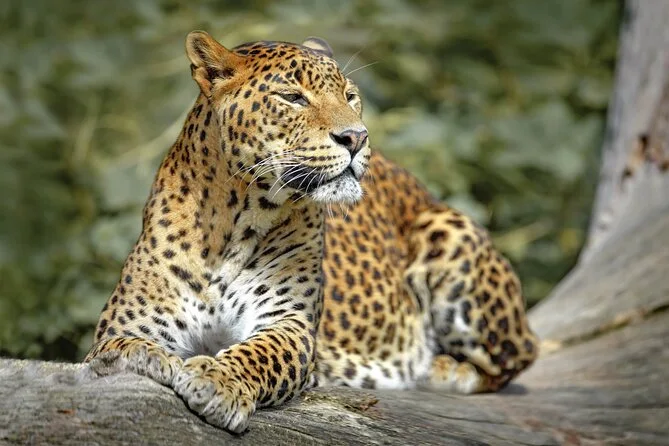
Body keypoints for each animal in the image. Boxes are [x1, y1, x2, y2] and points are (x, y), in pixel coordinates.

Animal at [85, 30, 538, 433]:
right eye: (292, 97)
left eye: (350, 96)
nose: (356, 137)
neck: (236, 221)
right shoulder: (128, 322)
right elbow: (118, 348)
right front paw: (147, 359)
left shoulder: (290, 324)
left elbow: (258, 353)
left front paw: (216, 381)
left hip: (449, 232)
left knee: (518, 355)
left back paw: (442, 369)